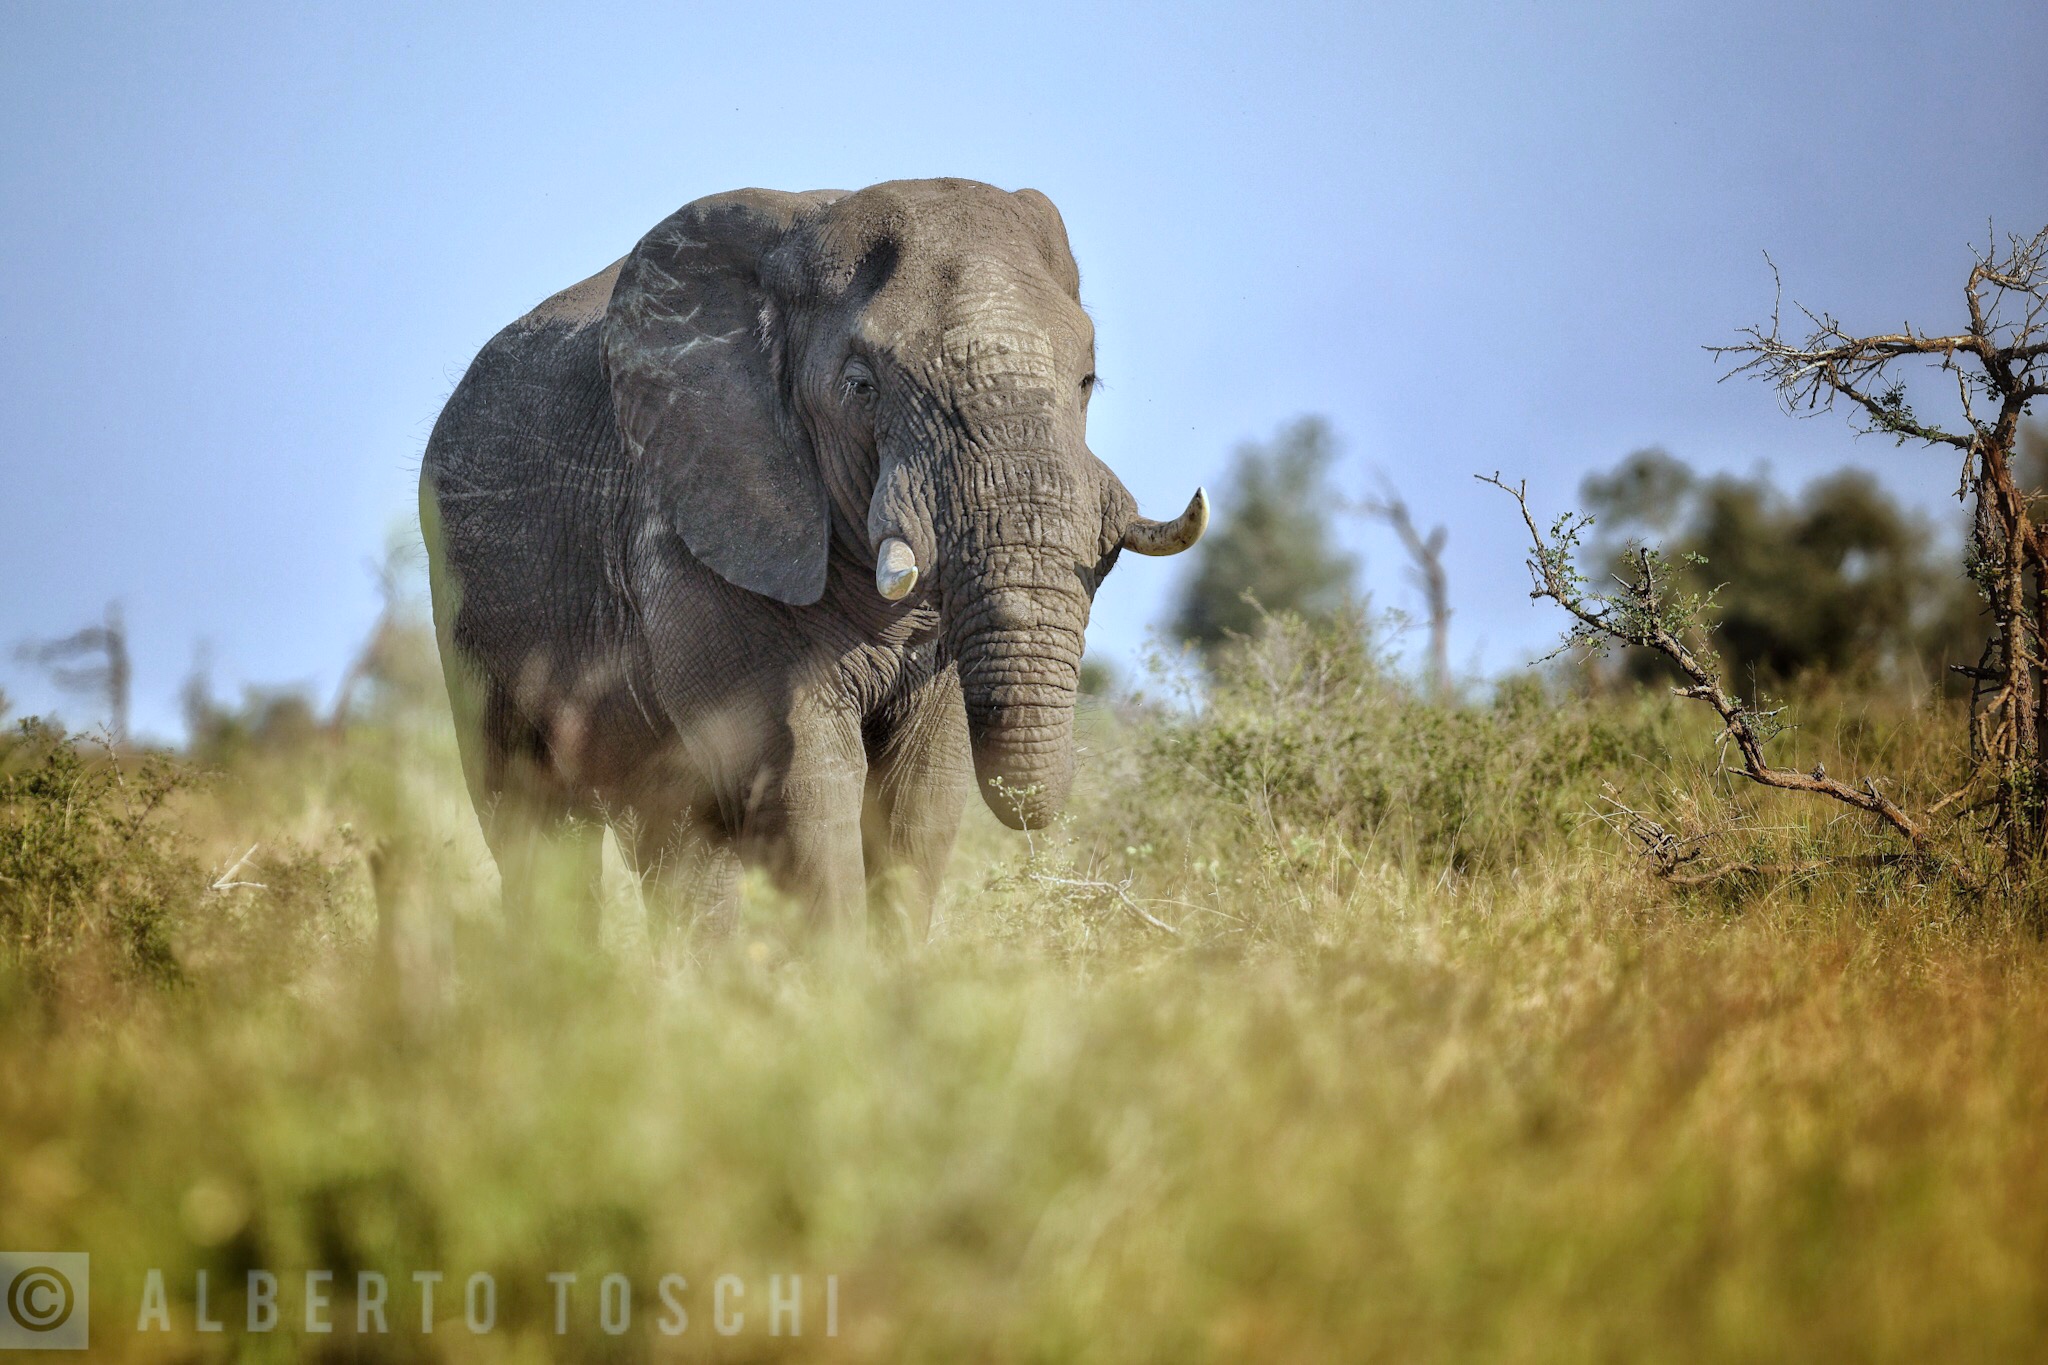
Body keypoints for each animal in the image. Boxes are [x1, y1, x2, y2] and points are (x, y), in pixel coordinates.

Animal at [420, 178, 1207, 940]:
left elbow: (921, 798)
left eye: (1087, 382)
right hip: (468, 607)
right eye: (861, 387)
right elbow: (805, 786)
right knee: (532, 818)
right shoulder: (701, 528)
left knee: (673, 840)